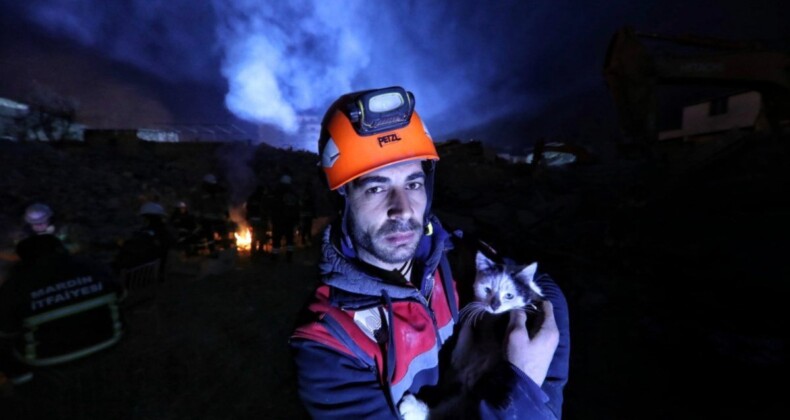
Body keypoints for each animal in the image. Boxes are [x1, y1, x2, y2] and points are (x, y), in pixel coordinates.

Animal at [400, 251, 548, 418]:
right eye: (487, 290)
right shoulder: (475, 313)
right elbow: (469, 325)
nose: (494, 305)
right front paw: (460, 351)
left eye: (509, 295)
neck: (491, 319)